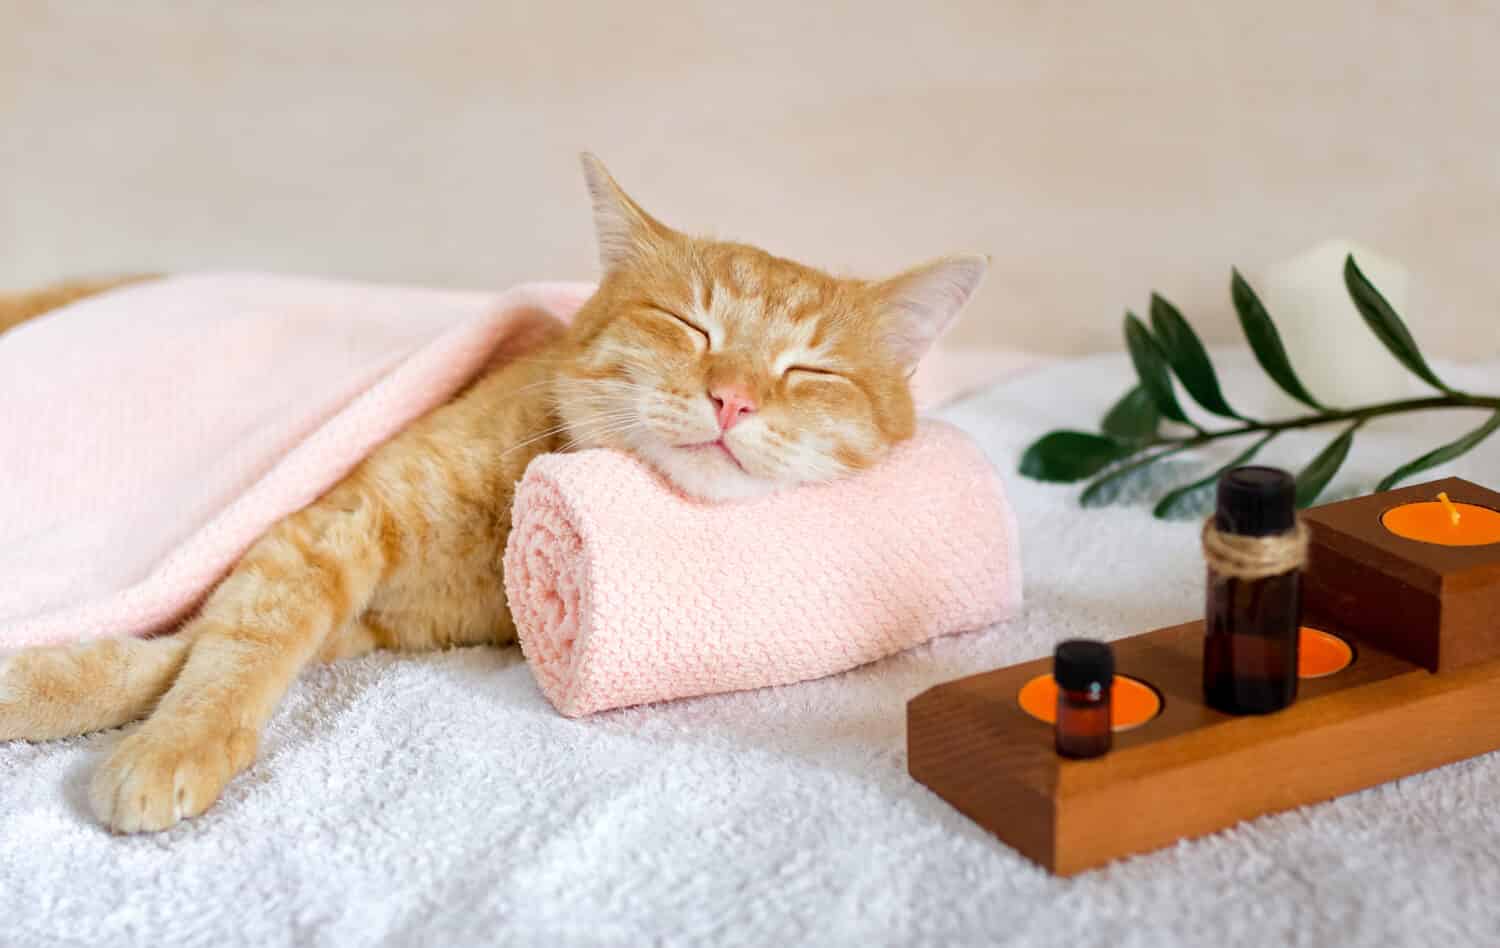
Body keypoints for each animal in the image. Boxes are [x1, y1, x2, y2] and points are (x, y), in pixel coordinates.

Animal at [0, 153, 990, 828]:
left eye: (810, 370)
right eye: (687, 325)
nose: (733, 398)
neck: (501, 529)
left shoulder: (354, 611)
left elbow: (182, 651)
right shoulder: (320, 532)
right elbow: (224, 650)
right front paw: (169, 737)